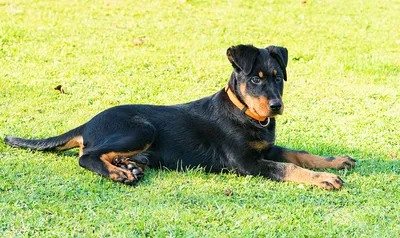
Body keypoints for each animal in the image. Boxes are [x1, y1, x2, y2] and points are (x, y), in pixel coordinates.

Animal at [3, 44, 354, 190]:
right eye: (255, 79)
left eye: (278, 77)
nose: (276, 106)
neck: (246, 114)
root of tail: (88, 122)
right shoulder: (246, 163)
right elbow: (288, 166)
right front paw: (323, 179)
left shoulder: (265, 149)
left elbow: (299, 154)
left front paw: (335, 161)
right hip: (140, 128)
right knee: (86, 155)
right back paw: (119, 173)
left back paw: (130, 166)